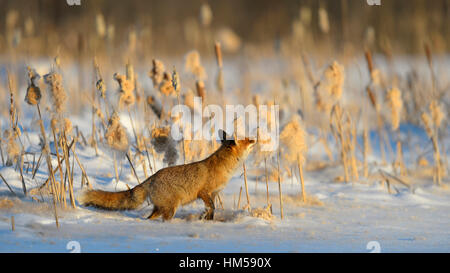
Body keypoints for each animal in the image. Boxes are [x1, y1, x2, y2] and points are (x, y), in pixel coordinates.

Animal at [78, 129, 255, 219]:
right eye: (246, 140)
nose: (255, 138)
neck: (223, 168)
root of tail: (151, 178)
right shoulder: (204, 192)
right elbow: (211, 207)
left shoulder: (214, 193)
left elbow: (212, 210)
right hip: (171, 208)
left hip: (160, 208)